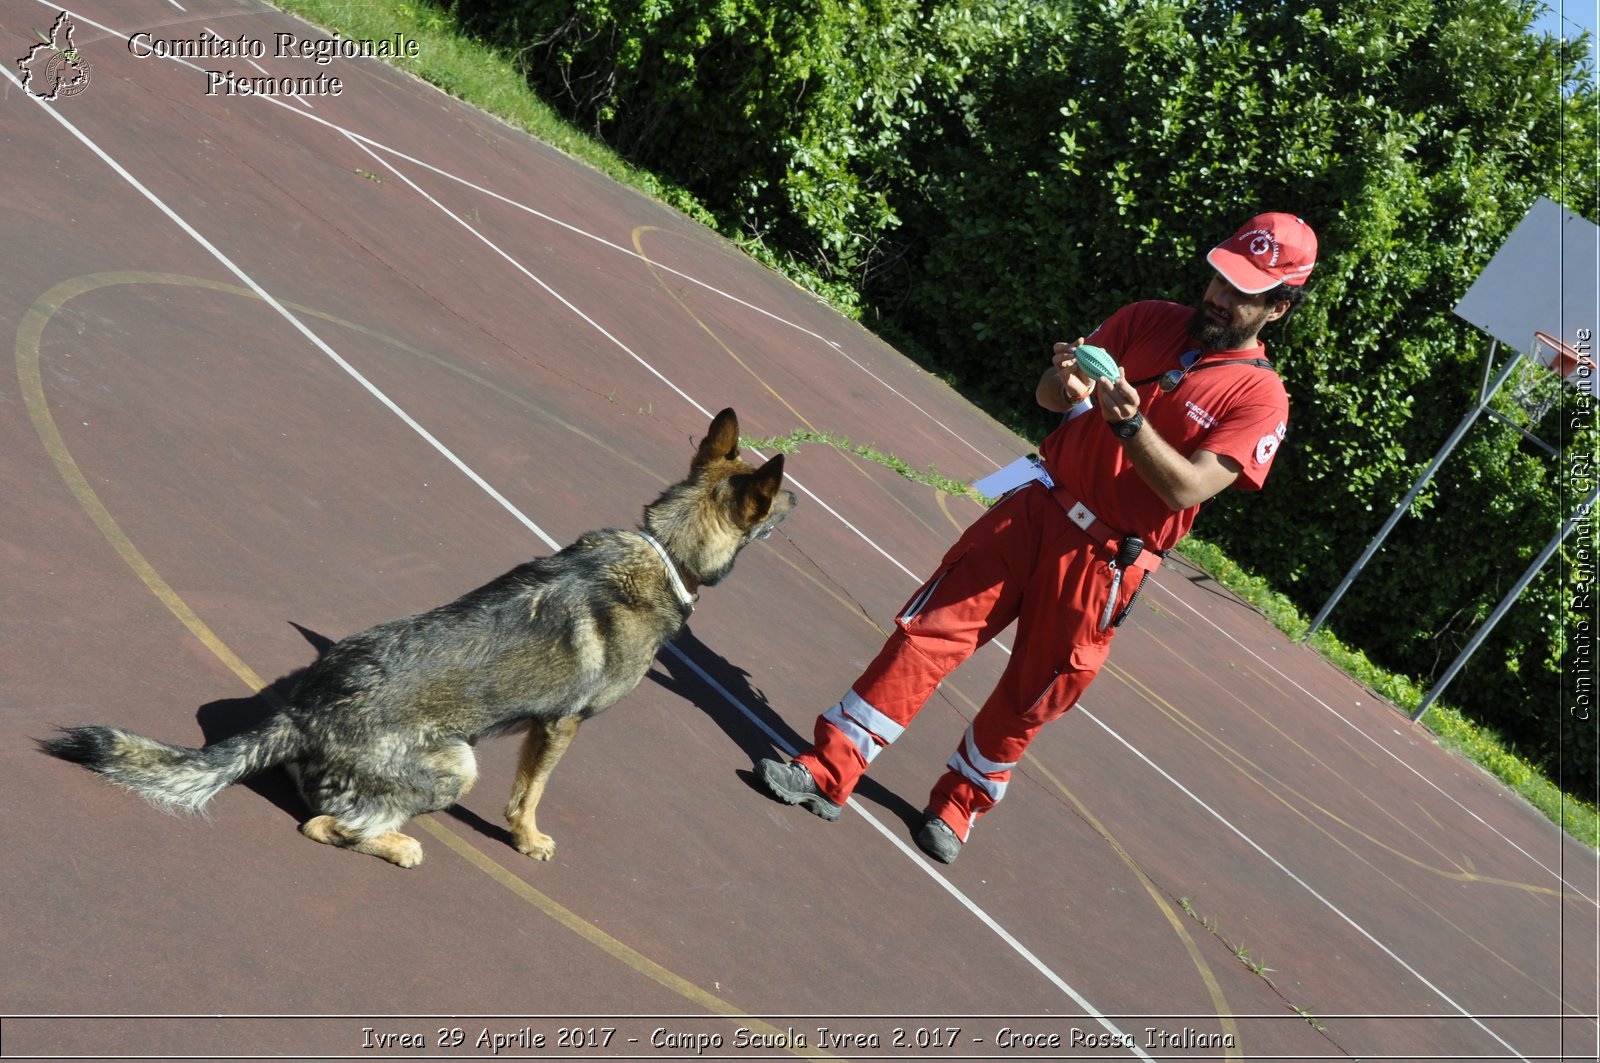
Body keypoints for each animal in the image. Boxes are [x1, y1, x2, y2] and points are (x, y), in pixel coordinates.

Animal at [36, 409, 787, 870]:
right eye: (778, 503)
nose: (801, 498)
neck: (667, 549)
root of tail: (301, 715)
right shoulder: (561, 724)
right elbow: (529, 795)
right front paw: (527, 840)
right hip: (459, 764)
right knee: (324, 826)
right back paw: (399, 845)